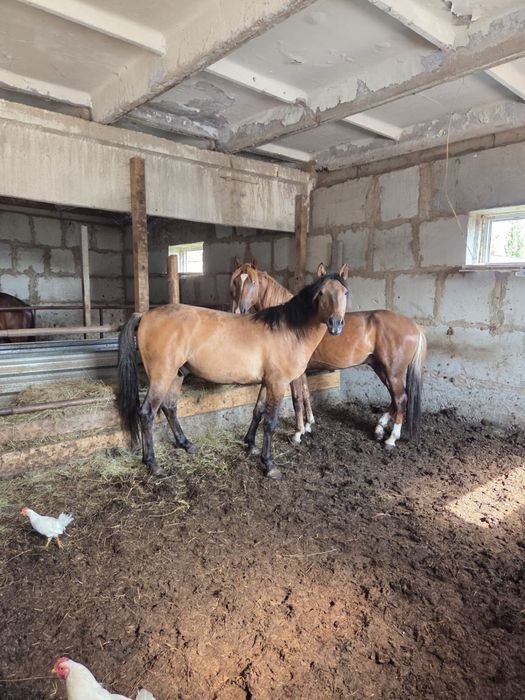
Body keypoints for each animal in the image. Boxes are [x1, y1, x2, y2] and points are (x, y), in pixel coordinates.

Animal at [117, 273, 348, 480]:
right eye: (321, 293)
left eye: (345, 292)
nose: (336, 324)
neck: (288, 330)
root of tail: (145, 315)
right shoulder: (278, 383)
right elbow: (270, 422)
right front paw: (269, 464)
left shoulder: (267, 382)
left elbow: (258, 411)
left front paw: (251, 445)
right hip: (162, 376)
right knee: (147, 413)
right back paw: (153, 464)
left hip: (176, 376)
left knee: (169, 407)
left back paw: (186, 444)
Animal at [230, 260, 426, 449]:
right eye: (236, 282)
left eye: (253, 282)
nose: (239, 311)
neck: (292, 322)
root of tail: (415, 326)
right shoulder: (301, 372)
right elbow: (306, 394)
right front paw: (308, 425)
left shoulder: (293, 374)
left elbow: (297, 399)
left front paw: (297, 434)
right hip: (381, 368)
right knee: (397, 398)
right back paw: (379, 429)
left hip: (393, 372)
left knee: (400, 399)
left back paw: (391, 439)